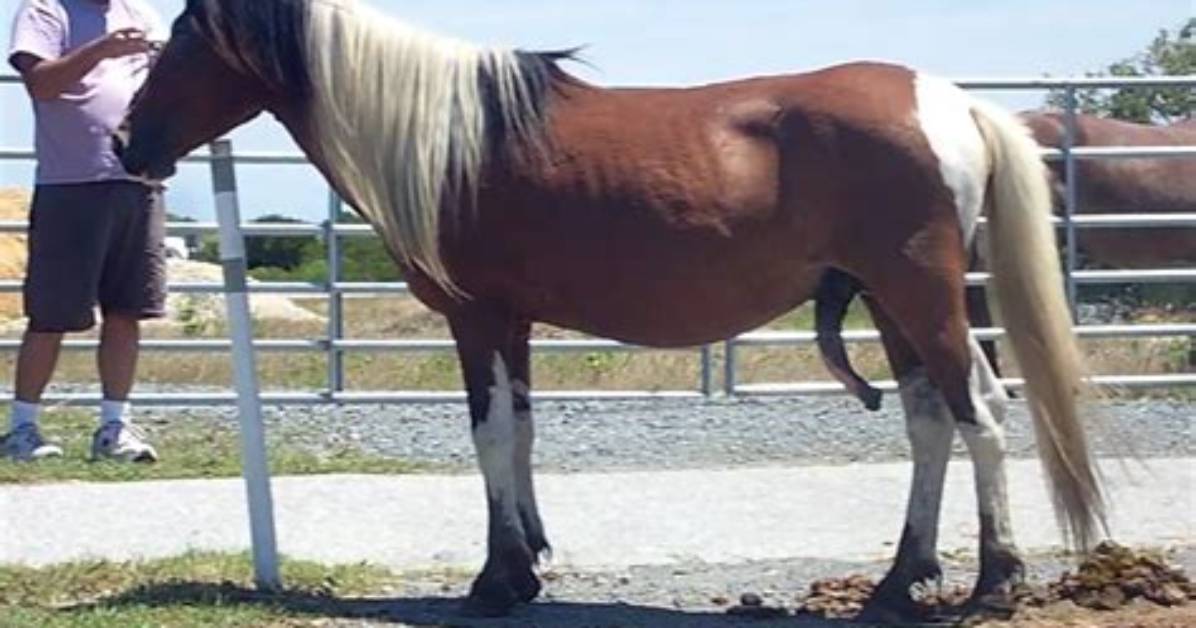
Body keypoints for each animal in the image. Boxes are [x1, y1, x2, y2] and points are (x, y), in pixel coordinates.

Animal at [114, 0, 1106, 620]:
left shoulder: (476, 316)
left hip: (918, 299)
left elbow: (489, 435)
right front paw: (523, 567)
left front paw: (494, 580)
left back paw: (993, 583)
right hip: (892, 307)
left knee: (982, 417)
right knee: (932, 422)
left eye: (182, 37)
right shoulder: (511, 322)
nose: (126, 141)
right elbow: (518, 433)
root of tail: (948, 103)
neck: (451, 138)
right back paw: (899, 586)